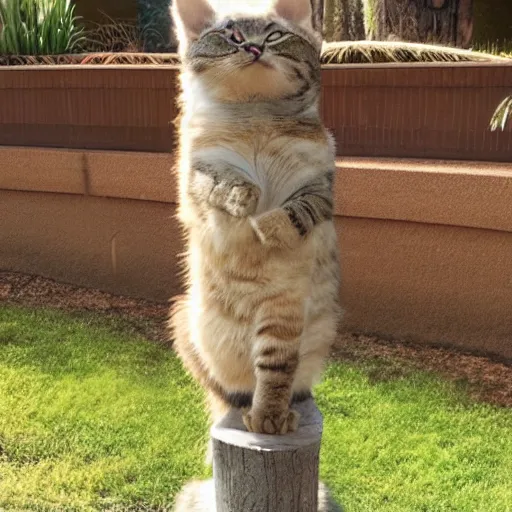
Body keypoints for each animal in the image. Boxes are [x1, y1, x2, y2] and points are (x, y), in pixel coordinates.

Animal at [170, 0, 342, 436]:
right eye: (231, 35)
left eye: (274, 35)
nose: (252, 48)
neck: (255, 114)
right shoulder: (197, 170)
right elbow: (221, 182)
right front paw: (244, 198)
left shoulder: (319, 187)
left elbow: (295, 210)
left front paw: (266, 227)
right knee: (231, 391)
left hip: (284, 317)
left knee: (276, 370)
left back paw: (271, 417)